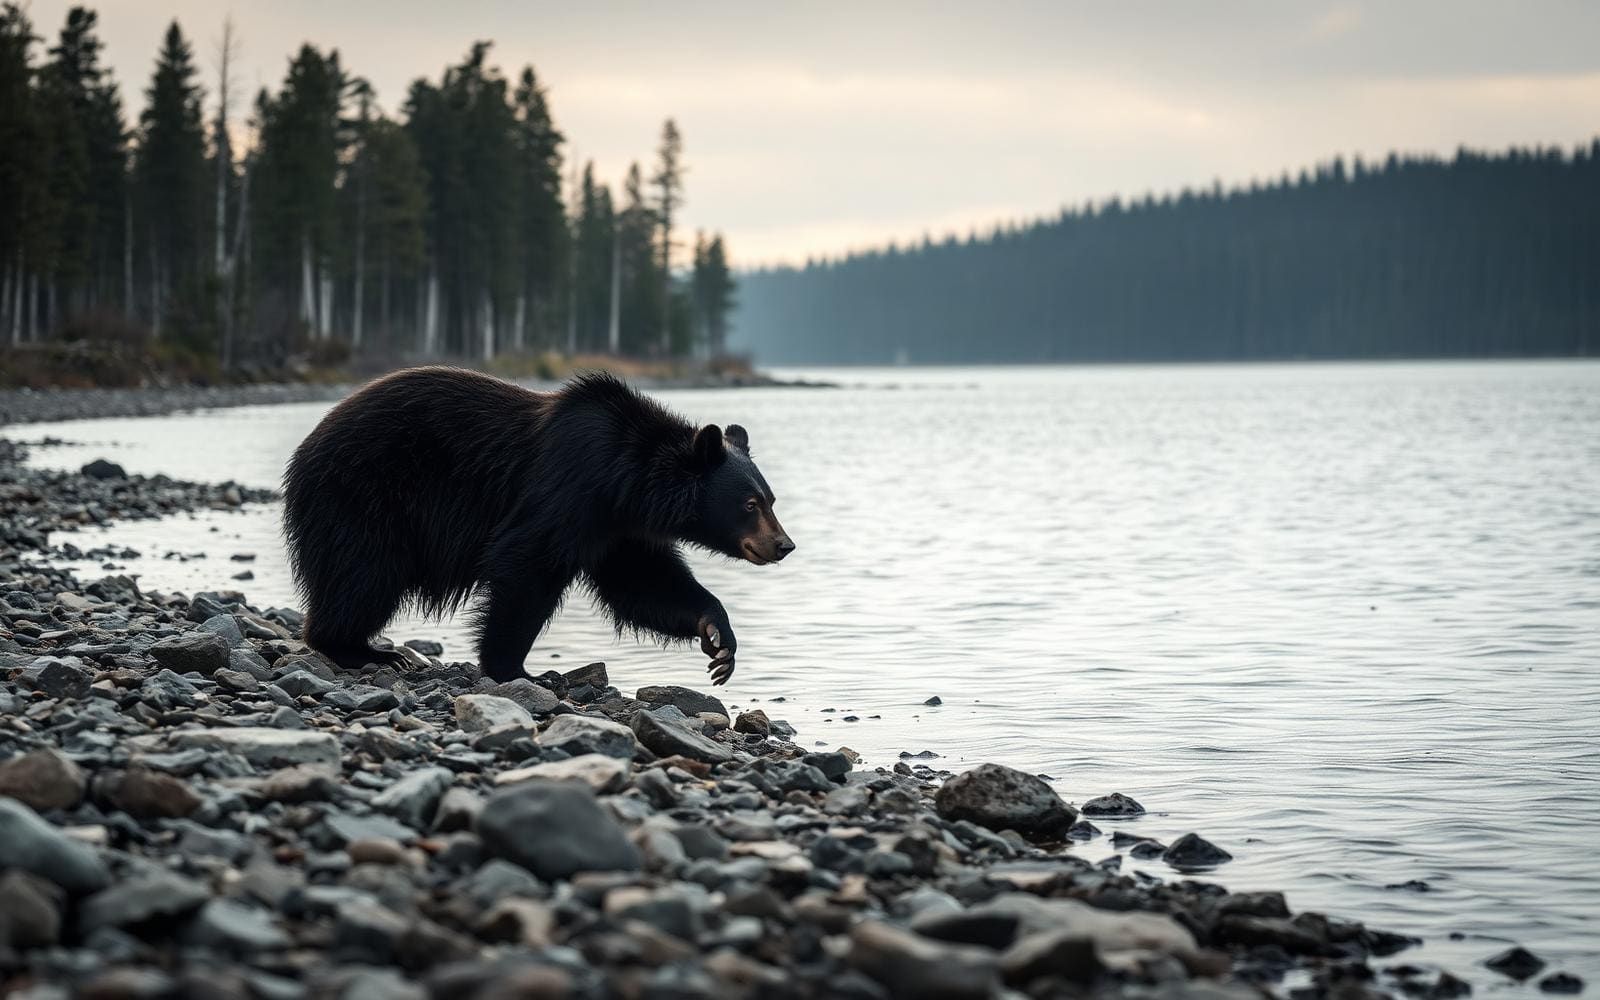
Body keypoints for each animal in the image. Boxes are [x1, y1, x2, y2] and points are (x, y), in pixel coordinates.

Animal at [281, 366, 794, 685]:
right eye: (749, 504)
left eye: (770, 499)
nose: (784, 544)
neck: (622, 481)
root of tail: (303, 451)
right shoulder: (566, 489)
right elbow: (526, 565)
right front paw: (515, 668)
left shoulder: (617, 531)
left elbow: (645, 584)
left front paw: (720, 642)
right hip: (365, 497)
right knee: (362, 574)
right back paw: (362, 649)